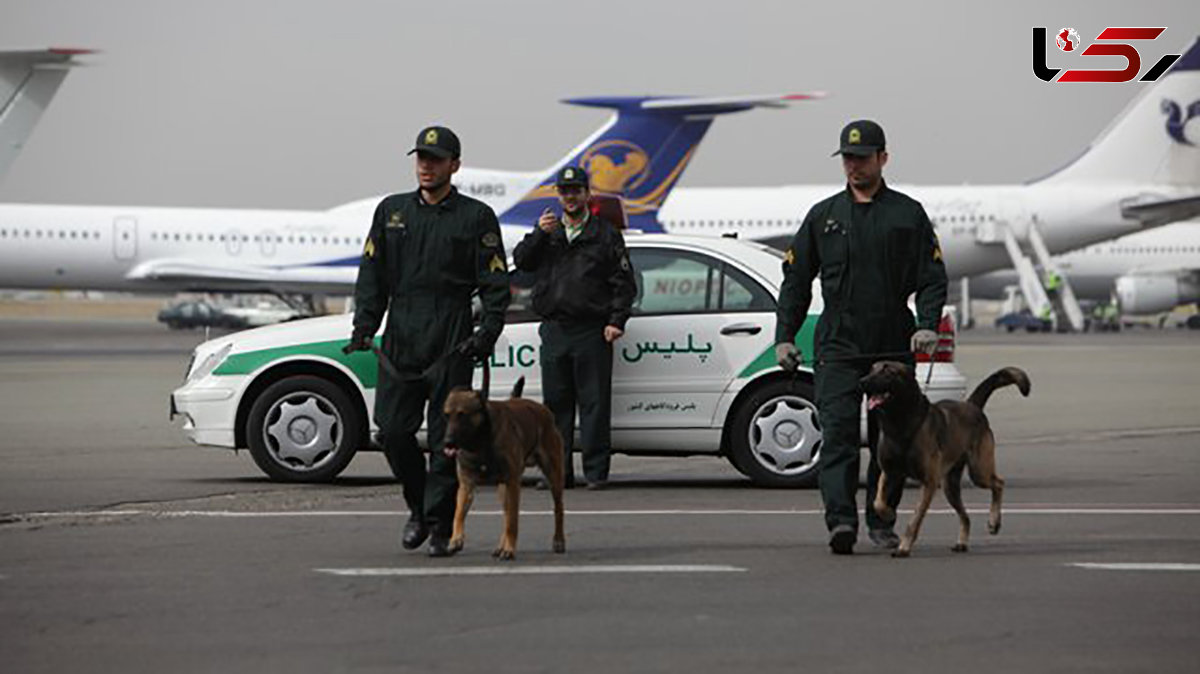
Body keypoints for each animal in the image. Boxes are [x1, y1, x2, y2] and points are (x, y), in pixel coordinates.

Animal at [446, 374, 566, 558]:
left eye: (462, 415)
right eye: (446, 416)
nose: (447, 442)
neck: (481, 439)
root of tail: (543, 410)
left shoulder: (513, 483)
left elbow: (512, 521)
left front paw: (510, 549)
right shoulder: (466, 485)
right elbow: (458, 514)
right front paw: (456, 539)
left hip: (553, 475)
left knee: (558, 508)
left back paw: (558, 540)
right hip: (504, 490)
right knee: (506, 513)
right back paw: (500, 546)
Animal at [854, 362, 1032, 556]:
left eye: (888, 371)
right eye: (872, 369)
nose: (862, 381)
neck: (901, 423)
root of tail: (972, 405)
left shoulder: (929, 483)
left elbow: (915, 520)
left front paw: (904, 547)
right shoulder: (889, 473)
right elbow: (878, 501)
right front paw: (887, 514)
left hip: (979, 472)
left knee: (998, 484)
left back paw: (994, 522)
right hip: (950, 487)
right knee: (966, 516)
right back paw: (962, 542)